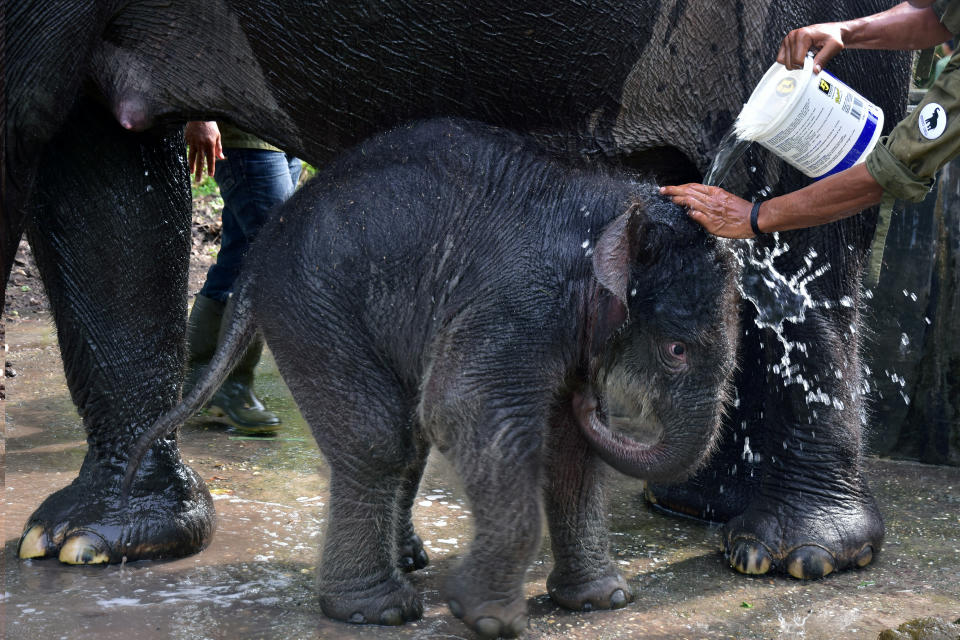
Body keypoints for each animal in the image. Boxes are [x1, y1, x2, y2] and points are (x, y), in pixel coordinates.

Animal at [127, 119, 740, 636]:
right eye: (677, 350)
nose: (595, 399)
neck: (611, 210)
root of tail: (257, 258)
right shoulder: (517, 302)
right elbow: (464, 409)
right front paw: (487, 617)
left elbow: (568, 450)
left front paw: (602, 601)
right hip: (312, 307)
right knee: (380, 437)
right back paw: (377, 610)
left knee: (408, 434)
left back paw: (406, 565)